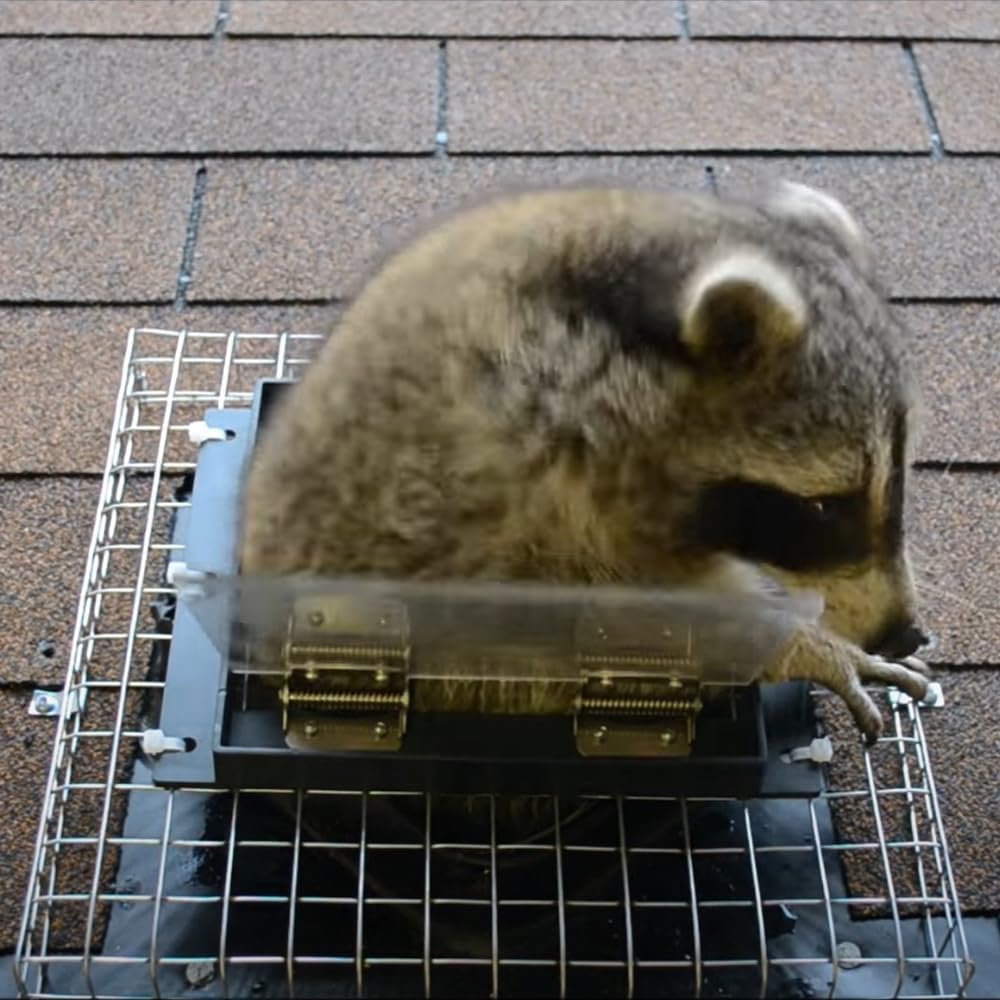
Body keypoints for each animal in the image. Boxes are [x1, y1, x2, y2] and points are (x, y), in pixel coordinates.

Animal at [239, 180, 931, 745]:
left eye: (899, 479)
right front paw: (807, 646)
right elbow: (644, 621)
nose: (901, 632)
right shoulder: (543, 485)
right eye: (821, 505)